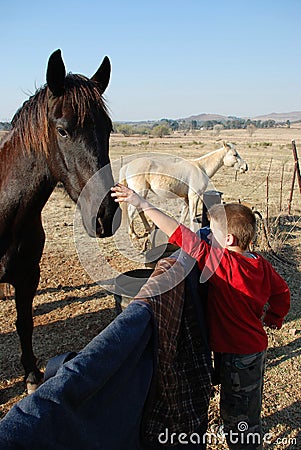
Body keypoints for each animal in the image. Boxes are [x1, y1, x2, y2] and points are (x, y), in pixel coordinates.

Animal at [0, 49, 119, 392]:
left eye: (108, 128)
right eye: (63, 130)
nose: (105, 215)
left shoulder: (29, 276)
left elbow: (25, 323)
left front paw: (31, 375)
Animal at [118, 142, 247, 241]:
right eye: (235, 154)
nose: (245, 167)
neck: (201, 168)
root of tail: (127, 166)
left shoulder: (186, 198)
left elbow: (184, 215)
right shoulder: (193, 197)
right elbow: (192, 216)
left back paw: (148, 229)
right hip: (140, 192)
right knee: (132, 211)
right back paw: (133, 235)